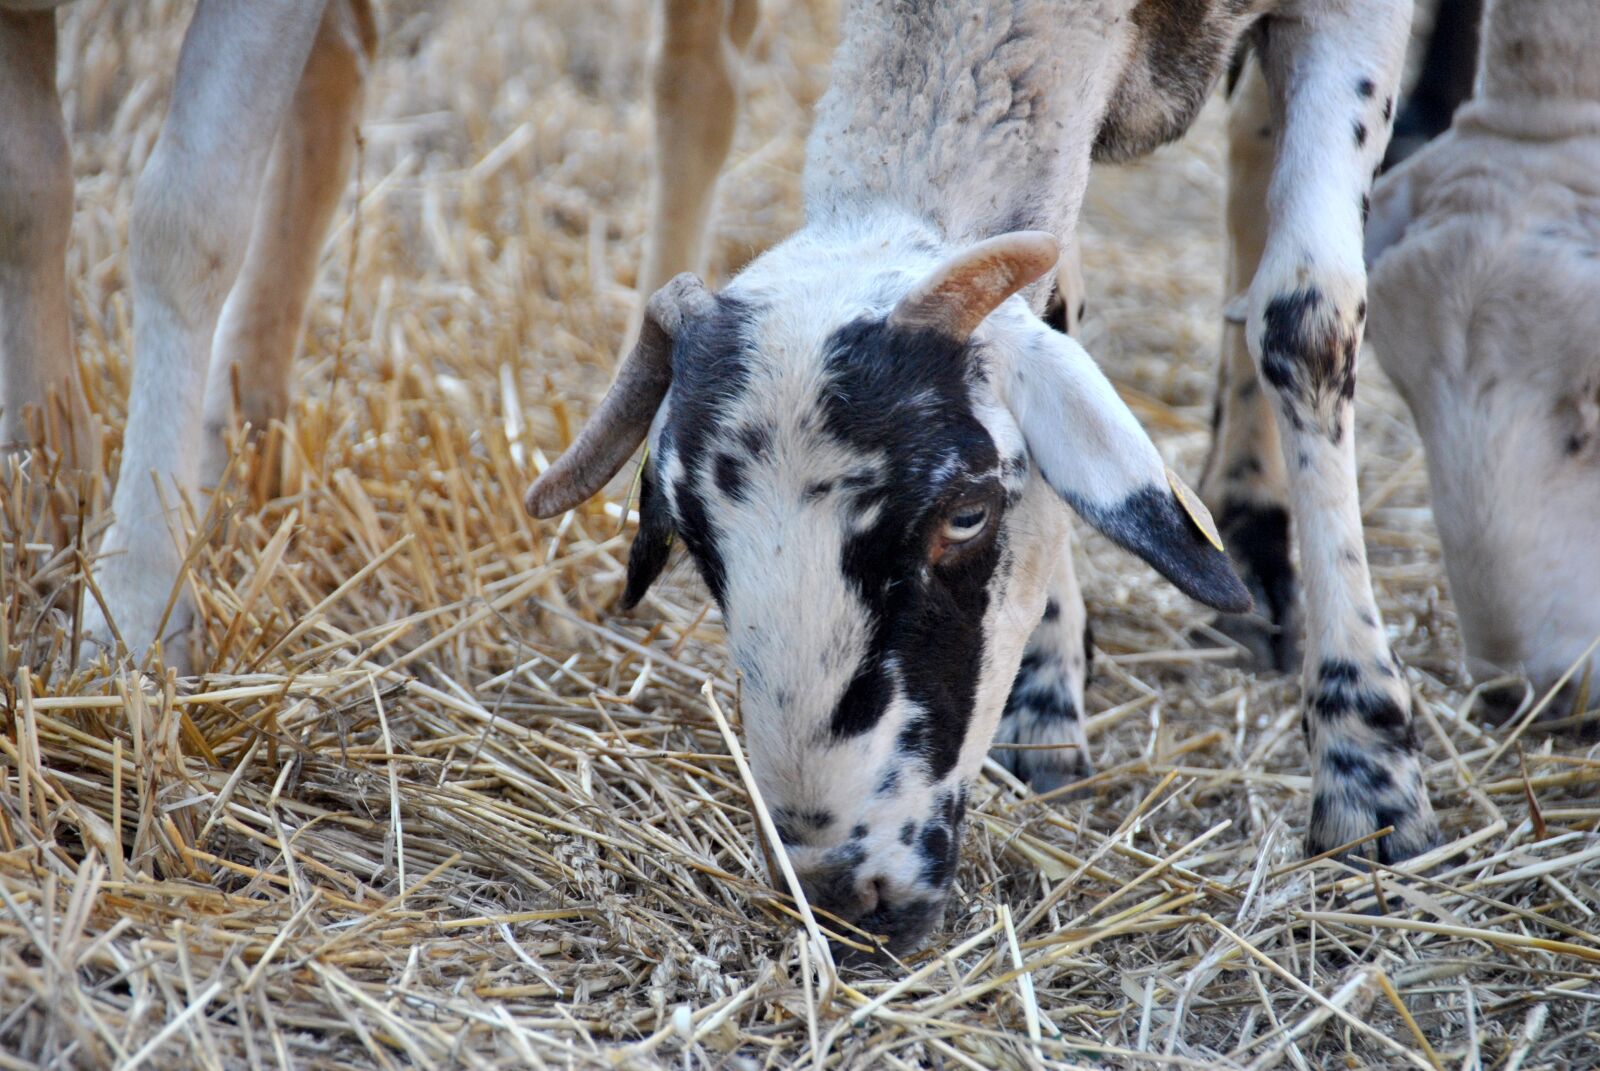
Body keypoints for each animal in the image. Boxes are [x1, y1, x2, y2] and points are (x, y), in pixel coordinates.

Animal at [530, 0, 1441, 954]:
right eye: (698, 544)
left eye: (966, 513)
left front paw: (1371, 778)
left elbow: (1307, 320)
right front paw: (1045, 696)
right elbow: (1062, 308)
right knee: (696, 80)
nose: (840, 893)